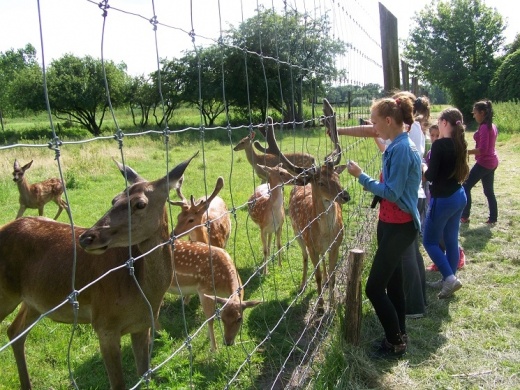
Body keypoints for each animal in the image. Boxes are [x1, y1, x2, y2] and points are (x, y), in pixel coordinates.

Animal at [262, 100, 352, 308]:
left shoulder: (337, 244)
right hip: (298, 234)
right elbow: (316, 275)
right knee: (304, 259)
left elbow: (333, 276)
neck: (326, 234)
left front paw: (332, 304)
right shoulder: (311, 245)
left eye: (337, 176)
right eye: (320, 182)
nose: (345, 196)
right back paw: (302, 285)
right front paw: (320, 307)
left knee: (324, 263)